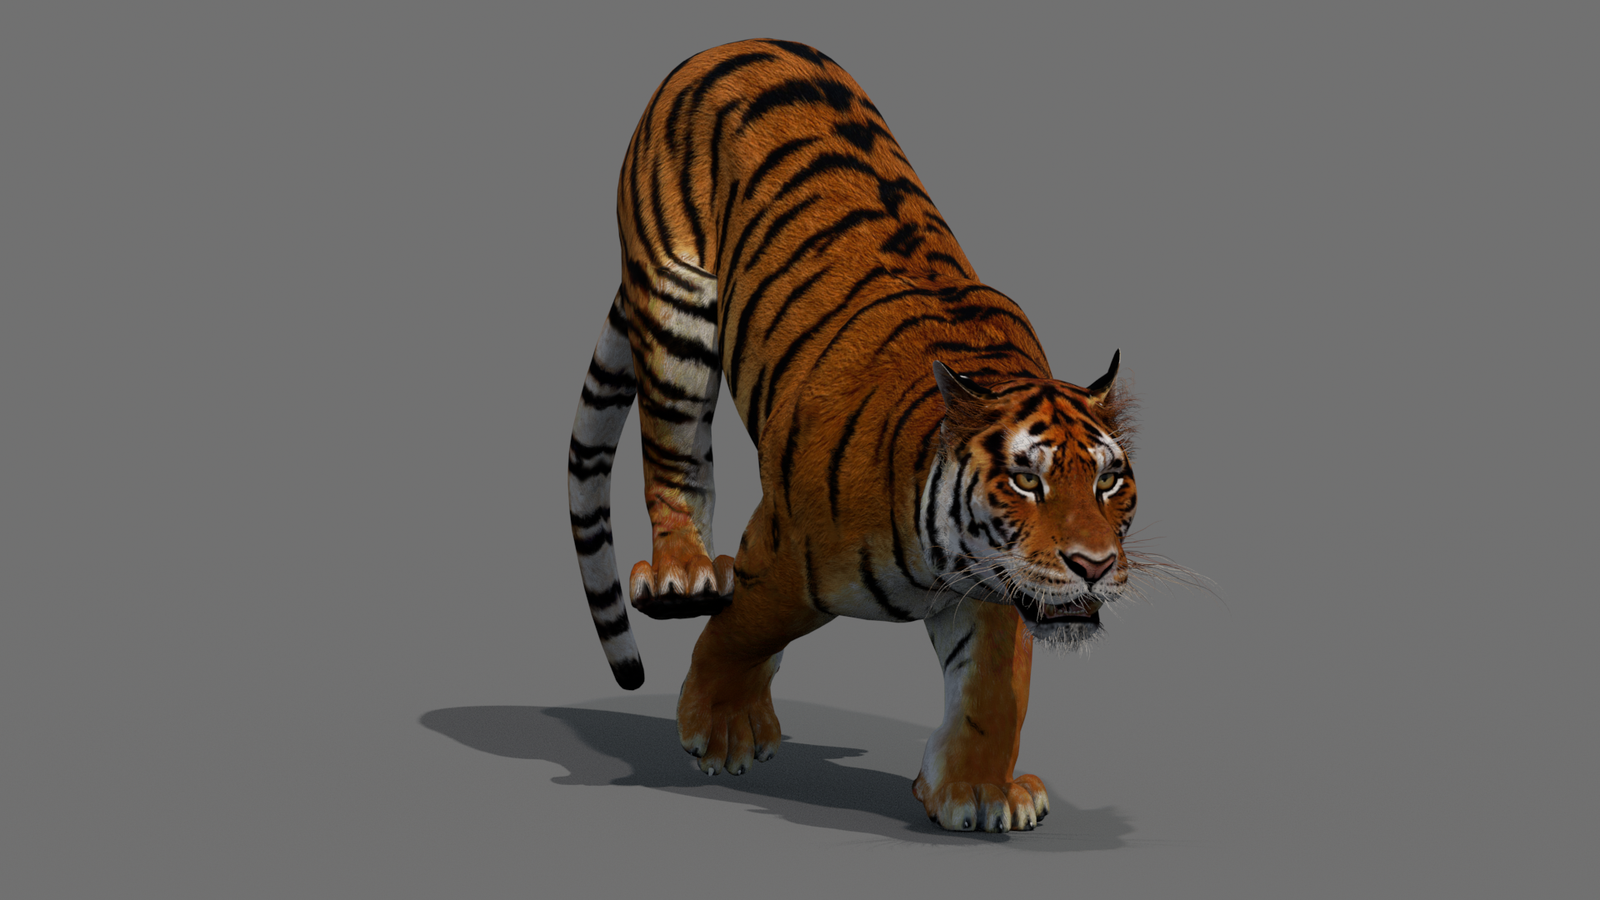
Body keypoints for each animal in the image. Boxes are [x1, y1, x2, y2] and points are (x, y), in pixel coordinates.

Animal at [567, 38, 1141, 833]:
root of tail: (733, 43)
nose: (1094, 565)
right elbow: (741, 629)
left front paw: (979, 791)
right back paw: (684, 571)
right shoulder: (783, 554)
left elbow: (994, 691)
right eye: (1028, 480)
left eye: (1108, 480)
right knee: (672, 457)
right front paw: (720, 726)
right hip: (676, 312)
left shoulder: (996, 587)